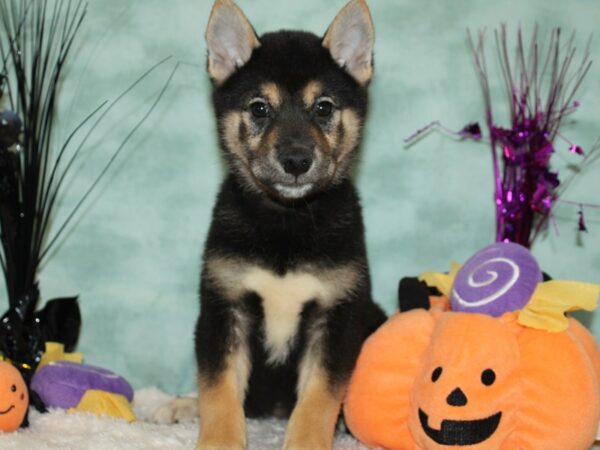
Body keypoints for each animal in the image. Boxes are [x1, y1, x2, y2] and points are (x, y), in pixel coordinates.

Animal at [157, 0, 386, 450]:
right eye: (259, 108)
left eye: (324, 107)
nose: (296, 161)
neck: (287, 221)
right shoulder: (223, 309)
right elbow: (219, 392)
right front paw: (219, 440)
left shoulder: (337, 317)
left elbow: (317, 401)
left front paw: (307, 442)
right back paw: (182, 405)